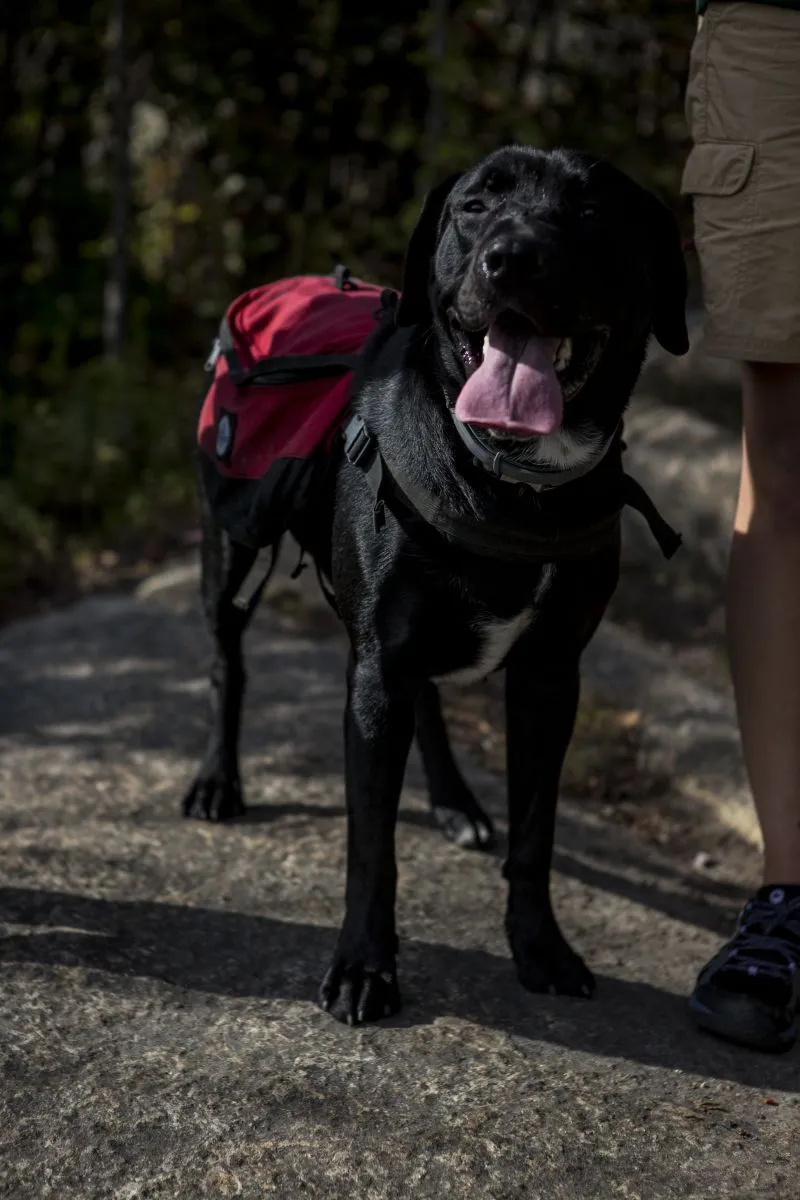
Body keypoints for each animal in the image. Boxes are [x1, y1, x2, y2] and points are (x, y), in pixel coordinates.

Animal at [183, 140, 690, 1022]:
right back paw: (219, 779)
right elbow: (372, 846)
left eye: (592, 210)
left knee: (427, 704)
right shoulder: (377, 668)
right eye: (476, 204)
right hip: (233, 543)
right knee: (228, 662)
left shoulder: (549, 676)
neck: (512, 481)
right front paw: (364, 966)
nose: (513, 257)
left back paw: (455, 803)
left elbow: (535, 832)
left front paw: (540, 947)